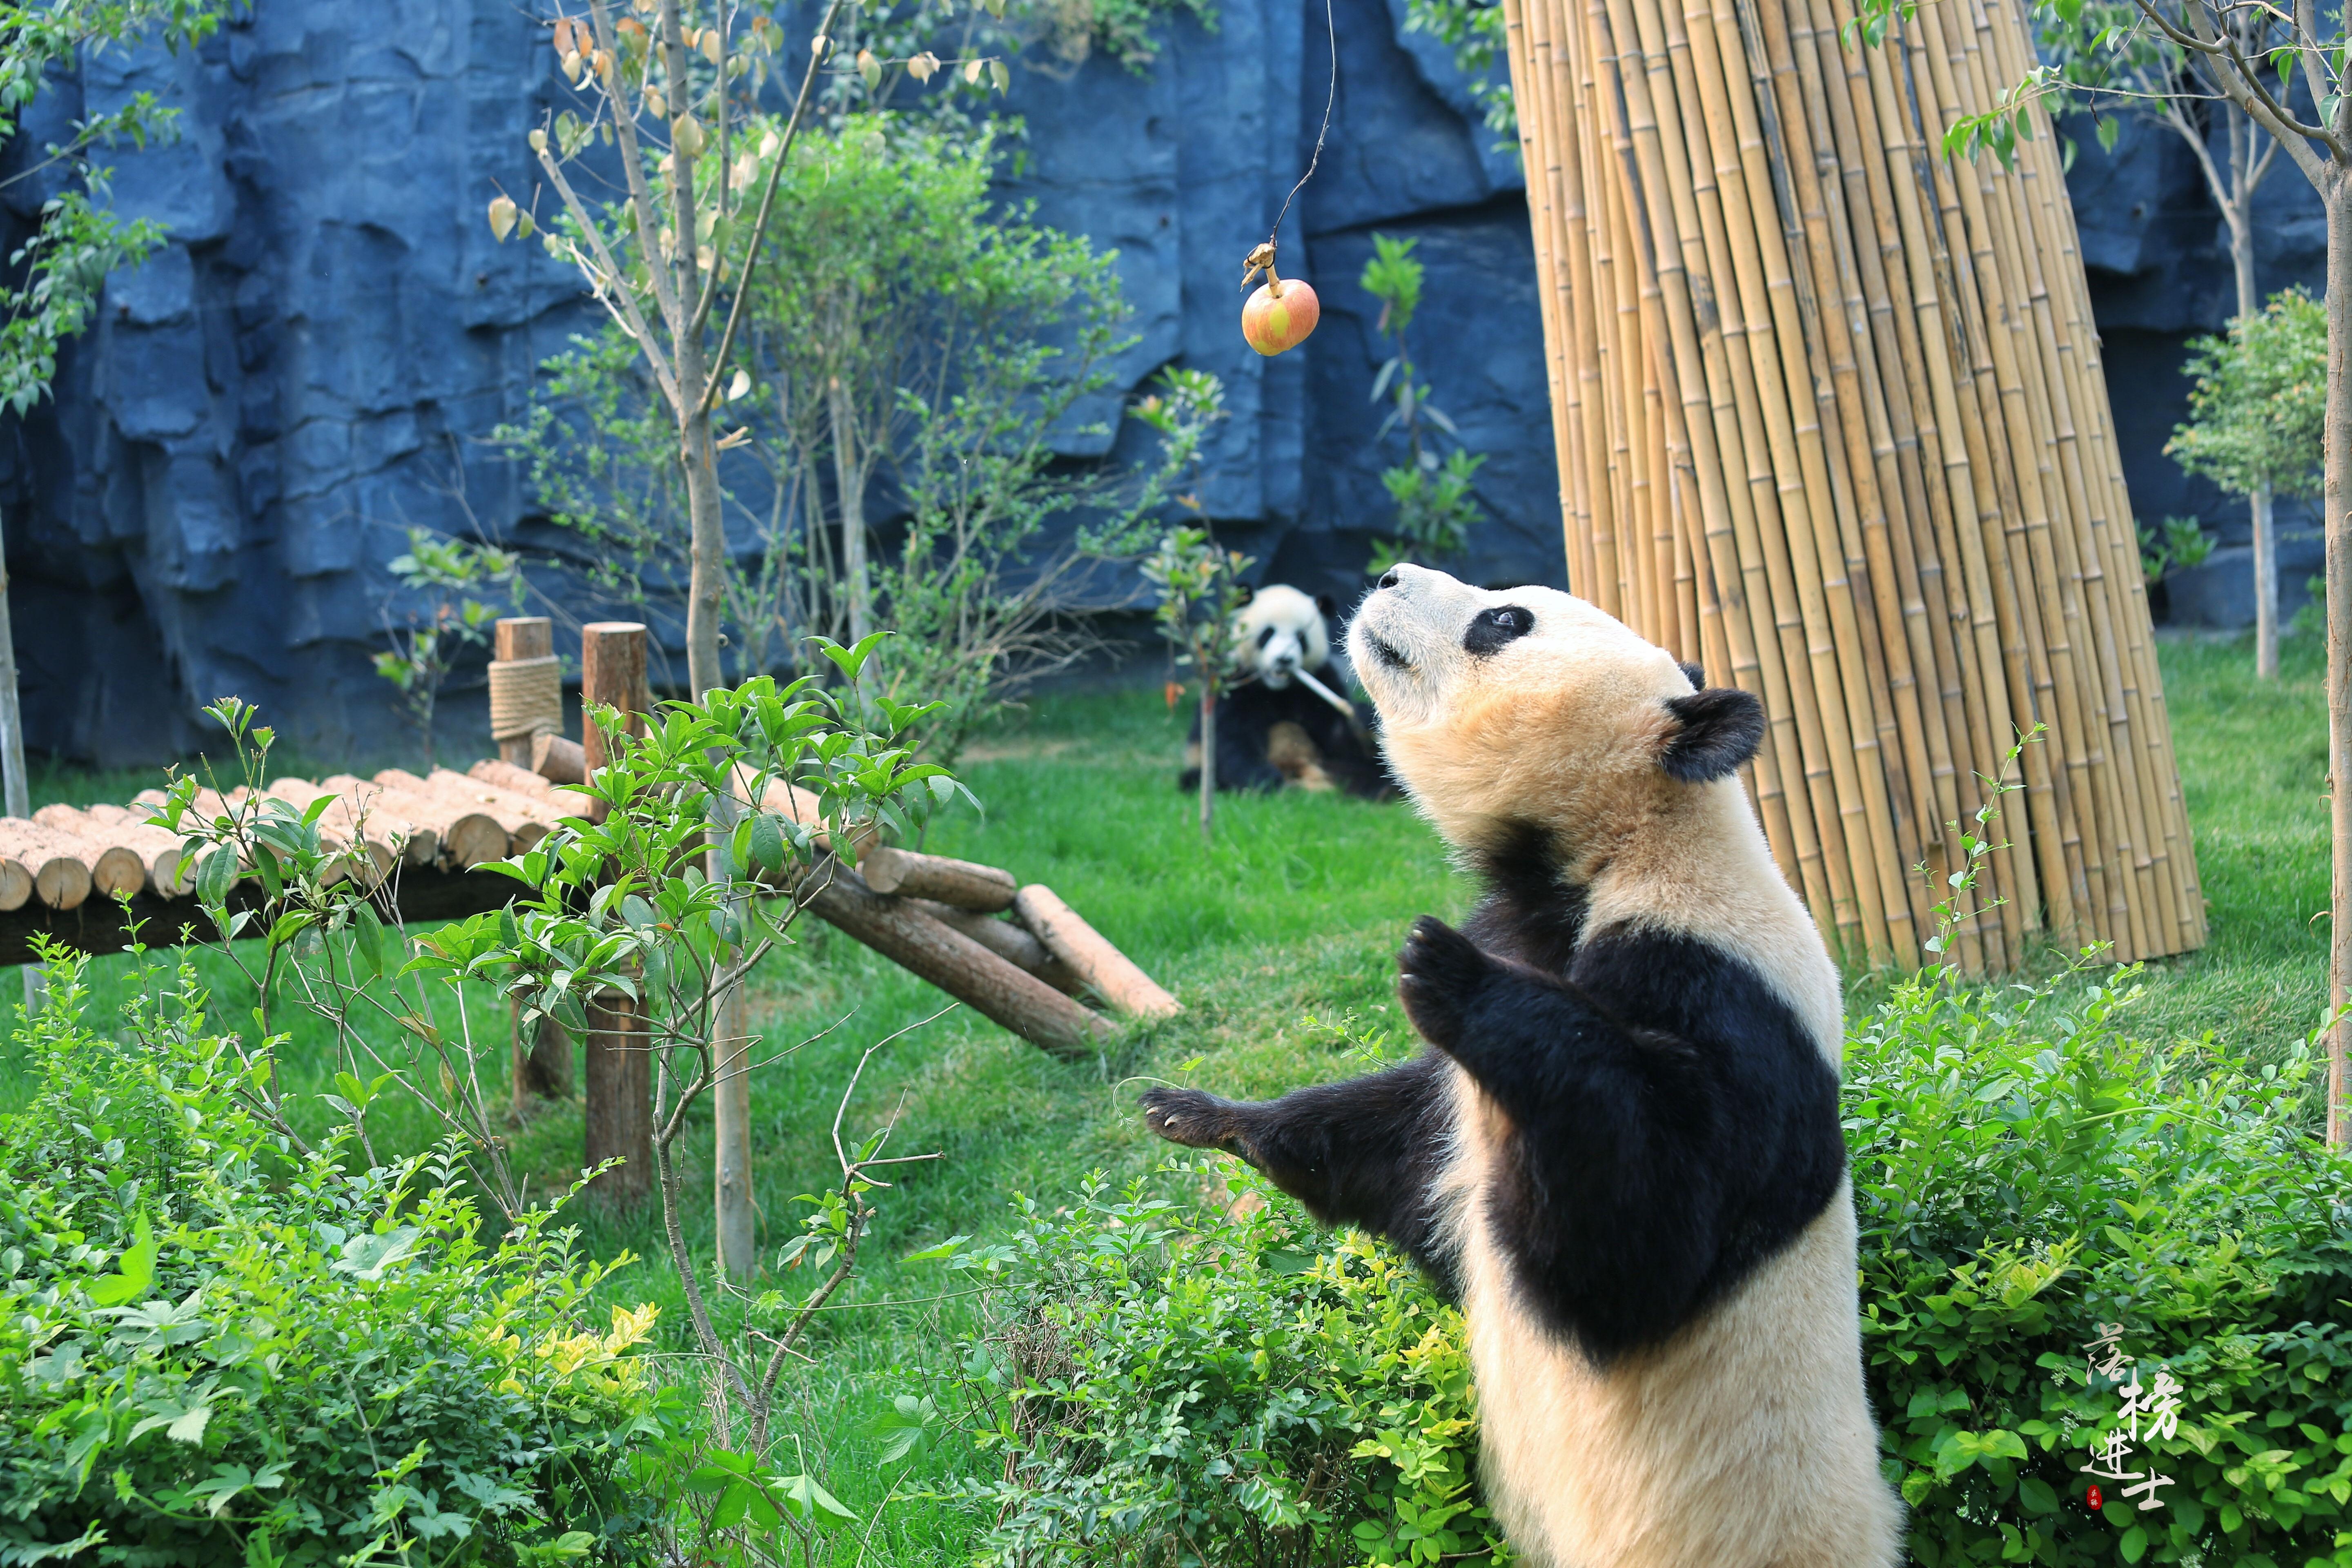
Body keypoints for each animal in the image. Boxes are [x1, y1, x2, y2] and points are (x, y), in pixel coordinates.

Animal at [1147, 571, 1900, 1568]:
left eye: (1504, 620)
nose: (1385, 578)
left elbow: (1643, 1243)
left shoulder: (1727, 995)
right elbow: (1399, 1150)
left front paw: (1449, 972)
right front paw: (1198, 1113)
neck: (1615, 848)